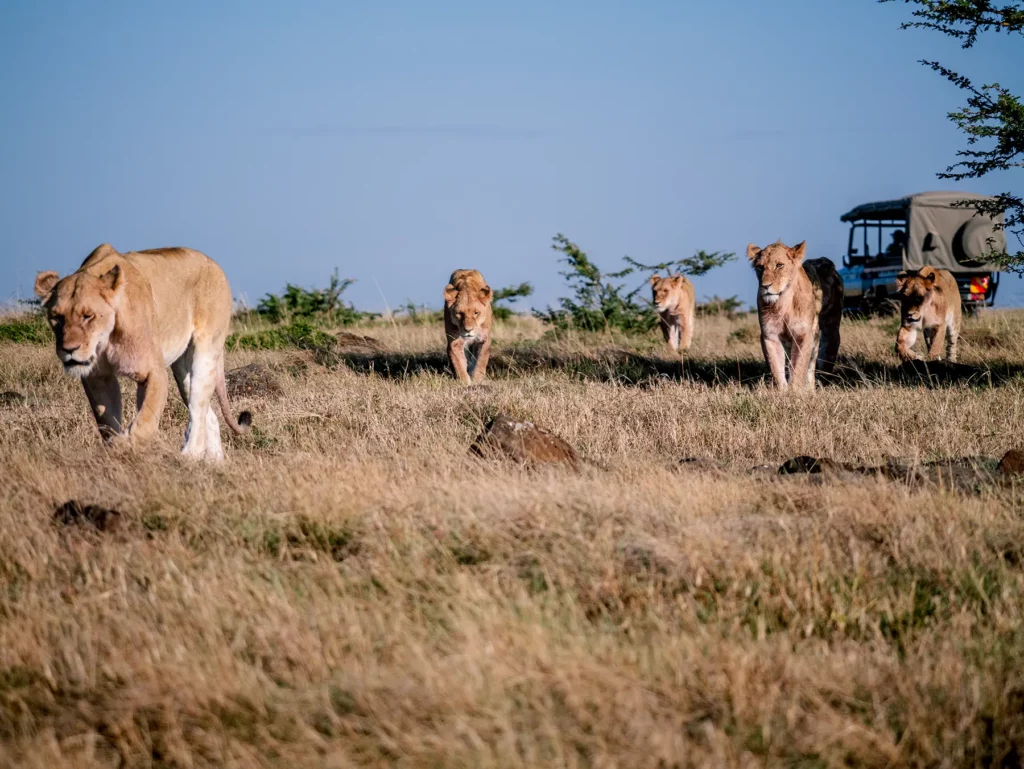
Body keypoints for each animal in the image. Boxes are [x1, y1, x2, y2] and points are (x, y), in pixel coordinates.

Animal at [34, 243, 251, 461]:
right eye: (56, 317)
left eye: (88, 316)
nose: (69, 349)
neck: (105, 339)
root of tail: (213, 263)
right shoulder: (97, 377)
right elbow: (107, 419)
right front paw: (117, 446)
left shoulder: (154, 372)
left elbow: (145, 422)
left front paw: (128, 446)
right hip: (182, 370)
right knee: (209, 415)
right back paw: (214, 462)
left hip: (206, 352)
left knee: (198, 407)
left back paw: (188, 456)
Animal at [747, 241, 843, 390]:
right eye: (759, 267)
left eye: (779, 265)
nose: (765, 286)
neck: (783, 302)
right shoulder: (770, 335)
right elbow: (776, 368)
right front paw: (783, 392)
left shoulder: (803, 334)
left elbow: (799, 366)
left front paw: (795, 392)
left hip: (829, 327)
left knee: (821, 356)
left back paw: (816, 385)